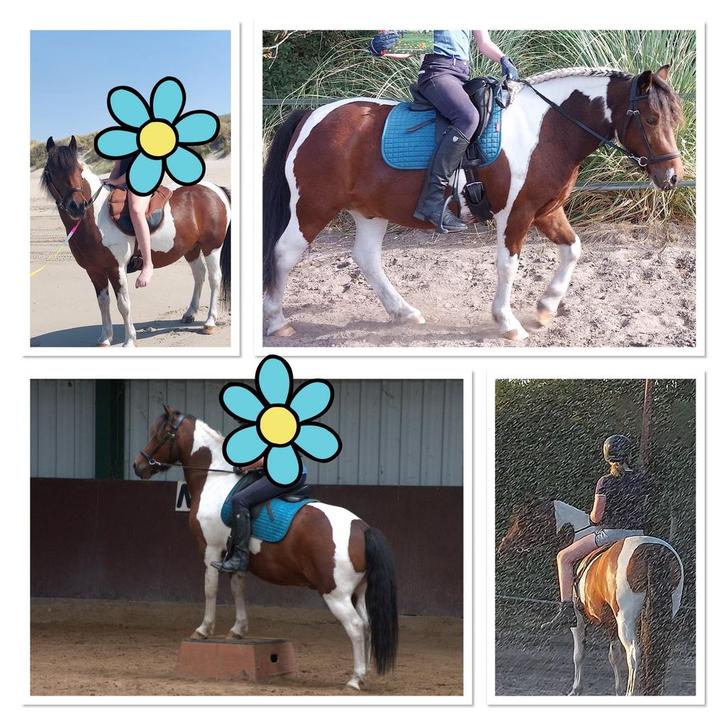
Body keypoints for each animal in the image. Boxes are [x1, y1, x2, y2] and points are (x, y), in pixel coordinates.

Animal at [41, 136, 231, 347]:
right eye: (50, 172)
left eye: (79, 171)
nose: (77, 206)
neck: (95, 217)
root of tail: (216, 190)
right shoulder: (94, 271)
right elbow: (103, 303)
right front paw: (105, 338)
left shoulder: (116, 268)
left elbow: (123, 305)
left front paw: (129, 340)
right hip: (191, 249)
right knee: (199, 275)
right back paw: (190, 314)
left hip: (211, 247)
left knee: (214, 278)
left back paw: (209, 322)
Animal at [132, 406, 398, 690]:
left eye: (161, 434)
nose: (138, 465)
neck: (215, 479)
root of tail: (361, 528)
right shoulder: (234, 554)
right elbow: (237, 588)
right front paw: (237, 630)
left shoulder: (211, 549)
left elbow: (210, 588)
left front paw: (203, 630)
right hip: (359, 592)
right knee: (367, 625)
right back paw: (364, 673)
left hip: (335, 593)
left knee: (356, 627)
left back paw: (355, 678)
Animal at [263, 66, 683, 342]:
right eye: (650, 118)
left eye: (674, 119)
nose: (673, 176)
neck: (547, 129)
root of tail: (311, 115)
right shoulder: (516, 213)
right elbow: (507, 265)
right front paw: (508, 323)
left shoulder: (546, 210)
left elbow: (574, 249)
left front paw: (546, 308)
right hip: (313, 208)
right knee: (283, 253)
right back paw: (277, 321)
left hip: (369, 211)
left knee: (366, 258)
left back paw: (404, 312)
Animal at [497, 498, 684, 696]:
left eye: (519, 521)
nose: (503, 546)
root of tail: (653, 551)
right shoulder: (611, 623)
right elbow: (614, 656)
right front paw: (617, 690)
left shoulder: (579, 620)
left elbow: (579, 654)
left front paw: (576, 689)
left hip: (626, 620)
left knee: (634, 655)